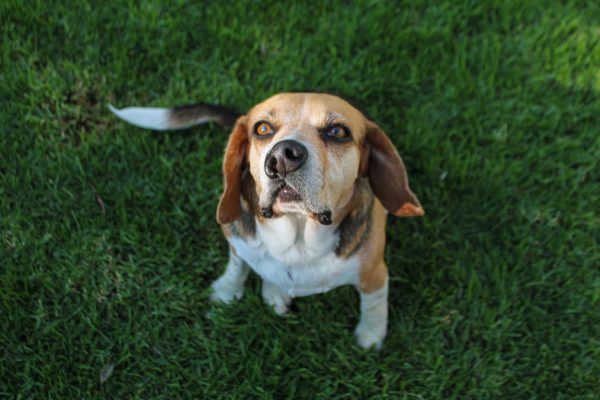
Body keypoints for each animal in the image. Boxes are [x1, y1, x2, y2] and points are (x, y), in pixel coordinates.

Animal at [110, 92, 424, 348]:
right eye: (262, 129)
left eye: (338, 131)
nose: (283, 155)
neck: (298, 239)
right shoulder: (237, 239)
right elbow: (238, 266)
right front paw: (227, 291)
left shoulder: (374, 273)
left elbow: (374, 304)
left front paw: (371, 336)